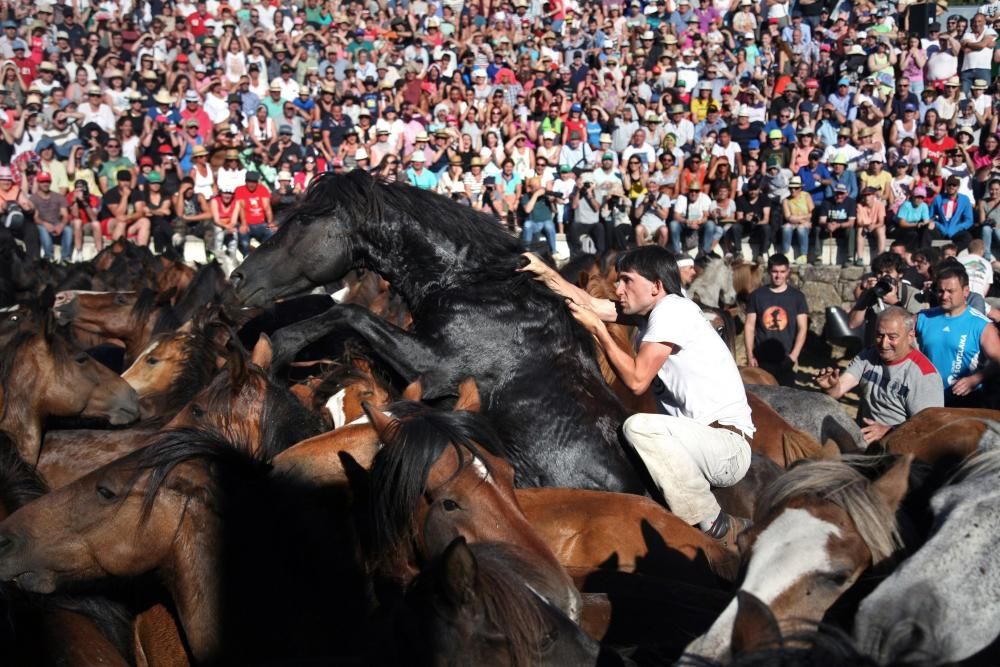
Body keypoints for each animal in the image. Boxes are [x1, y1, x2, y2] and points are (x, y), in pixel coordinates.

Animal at [230, 170, 644, 494]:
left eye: (302, 221)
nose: (237, 279)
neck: (470, 287)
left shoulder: (433, 368)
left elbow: (347, 312)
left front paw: (279, 348)